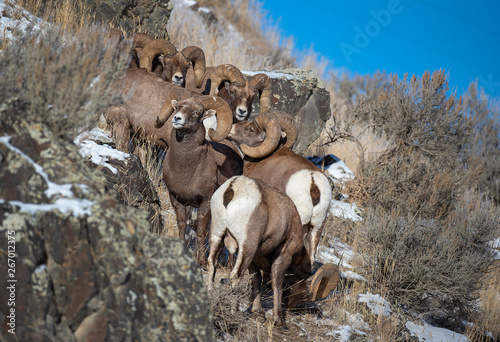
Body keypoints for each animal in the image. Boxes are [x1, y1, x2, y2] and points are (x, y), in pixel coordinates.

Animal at [164, 95, 242, 266]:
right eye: (177, 107)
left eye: (197, 112)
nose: (177, 118)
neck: (186, 169)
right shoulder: (176, 199)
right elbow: (182, 226)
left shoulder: (205, 201)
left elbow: (201, 232)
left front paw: (203, 262)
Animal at [209, 175, 338, 328]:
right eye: (306, 296)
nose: (291, 307)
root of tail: (233, 188)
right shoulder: (283, 256)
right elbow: (277, 284)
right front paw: (279, 320)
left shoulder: (255, 259)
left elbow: (256, 279)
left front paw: (258, 312)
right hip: (246, 248)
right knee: (236, 276)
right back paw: (235, 313)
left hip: (217, 236)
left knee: (212, 265)